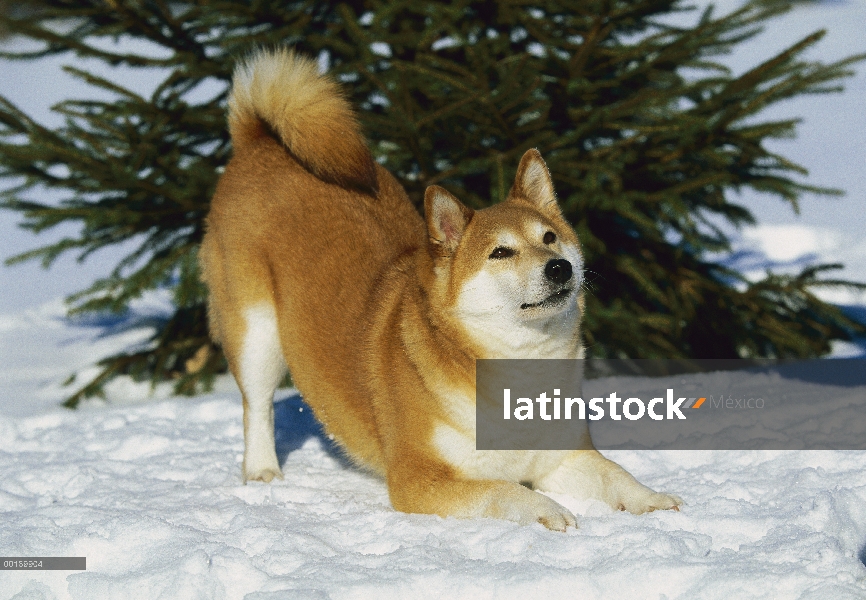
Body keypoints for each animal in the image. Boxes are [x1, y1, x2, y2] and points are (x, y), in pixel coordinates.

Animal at [201, 50, 680, 528]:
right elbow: (503, 490)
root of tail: (259, 141)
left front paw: (653, 499)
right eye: (500, 252)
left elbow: (616, 475)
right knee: (257, 407)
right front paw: (547, 510)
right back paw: (262, 472)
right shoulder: (420, 478)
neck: (521, 365)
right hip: (256, 335)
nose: (560, 268)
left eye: (549, 238)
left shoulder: (561, 458)